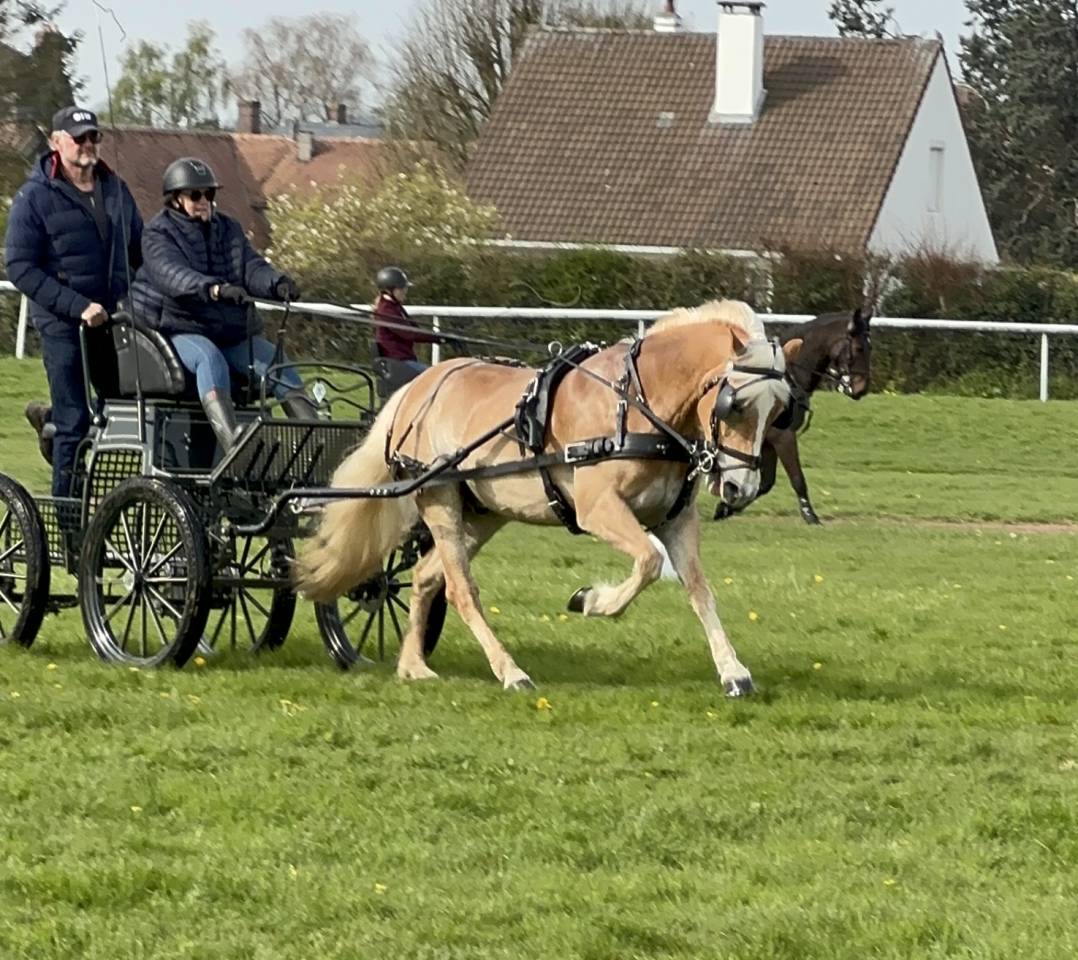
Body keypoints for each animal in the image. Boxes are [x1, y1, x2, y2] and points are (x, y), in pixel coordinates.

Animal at [295, 301, 801, 696]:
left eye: (780, 411)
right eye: (735, 405)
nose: (740, 489)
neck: (637, 405)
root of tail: (418, 387)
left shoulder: (675, 520)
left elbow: (698, 588)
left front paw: (733, 671)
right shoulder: (598, 510)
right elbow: (649, 563)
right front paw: (590, 601)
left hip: (484, 513)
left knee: (424, 577)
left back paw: (412, 665)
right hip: (440, 498)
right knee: (460, 589)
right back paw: (509, 671)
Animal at [714, 307, 871, 525]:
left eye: (870, 347)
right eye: (858, 348)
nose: (861, 389)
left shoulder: (768, 442)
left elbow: (765, 484)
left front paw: (727, 506)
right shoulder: (783, 437)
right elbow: (797, 478)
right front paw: (809, 514)